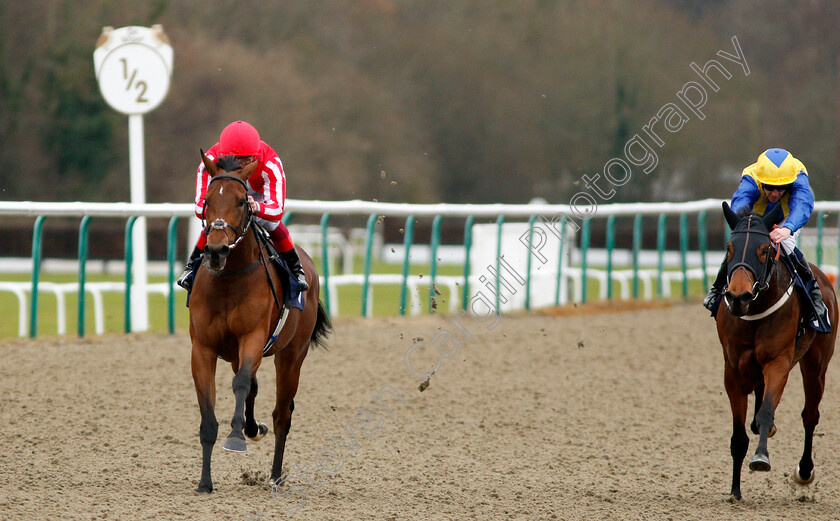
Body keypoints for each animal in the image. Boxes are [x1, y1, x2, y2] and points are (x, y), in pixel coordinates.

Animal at [190, 149, 332, 492]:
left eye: (243, 201)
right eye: (208, 200)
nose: (216, 250)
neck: (229, 278)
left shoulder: (253, 337)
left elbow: (241, 384)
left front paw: (235, 439)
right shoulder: (202, 348)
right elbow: (209, 414)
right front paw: (205, 482)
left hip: (292, 355)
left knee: (282, 412)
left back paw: (275, 475)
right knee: (253, 388)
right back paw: (254, 429)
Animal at [716, 201, 832, 498]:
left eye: (764, 250)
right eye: (728, 248)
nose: (738, 297)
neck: (755, 308)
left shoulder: (778, 362)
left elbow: (767, 411)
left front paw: (760, 458)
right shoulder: (733, 370)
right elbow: (738, 435)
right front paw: (735, 490)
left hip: (816, 366)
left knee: (810, 415)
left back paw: (805, 470)